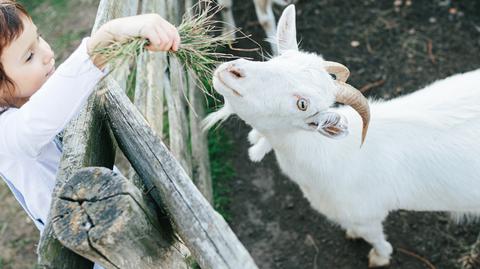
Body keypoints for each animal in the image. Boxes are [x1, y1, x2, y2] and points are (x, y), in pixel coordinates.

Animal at [204, 4, 480, 268]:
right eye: (275, 60)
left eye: (303, 104)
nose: (232, 71)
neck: (333, 154)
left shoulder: (367, 215)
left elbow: (374, 238)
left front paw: (380, 256)